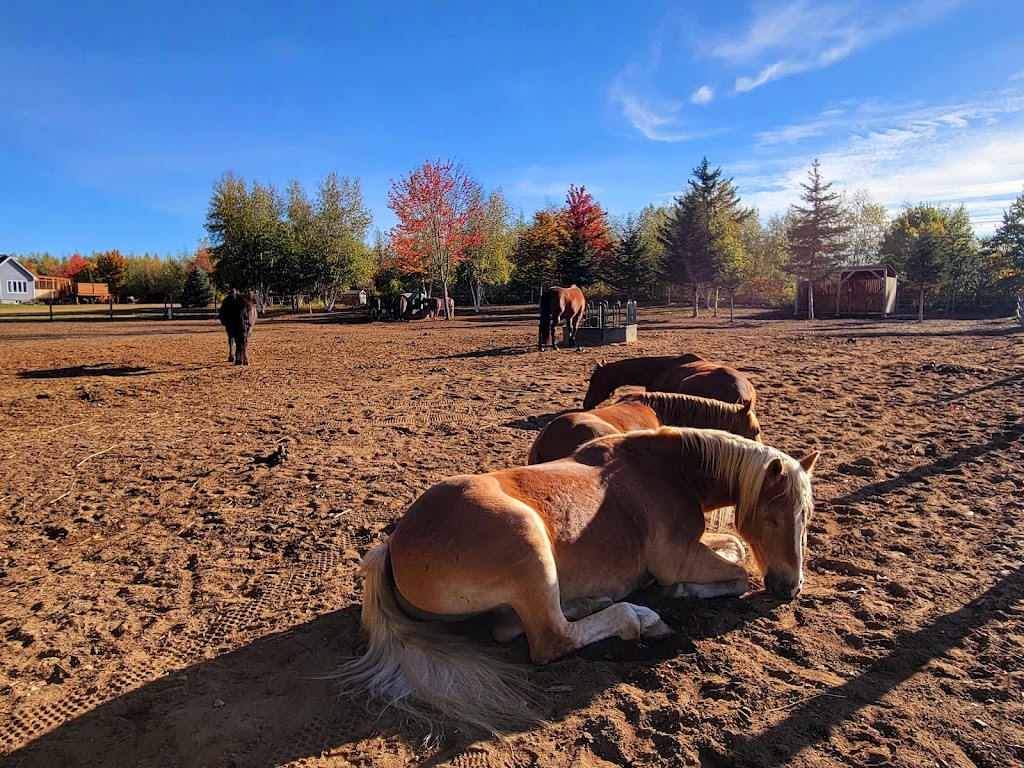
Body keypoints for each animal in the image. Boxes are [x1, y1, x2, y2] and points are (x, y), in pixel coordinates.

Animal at [333, 430, 815, 737]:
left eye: (807, 515)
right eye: (774, 517)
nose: (790, 587)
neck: (667, 470)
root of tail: (393, 545)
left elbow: (734, 547)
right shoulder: (678, 558)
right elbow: (738, 574)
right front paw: (679, 592)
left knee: (511, 624)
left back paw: (591, 601)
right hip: (529, 544)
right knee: (551, 638)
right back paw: (639, 617)